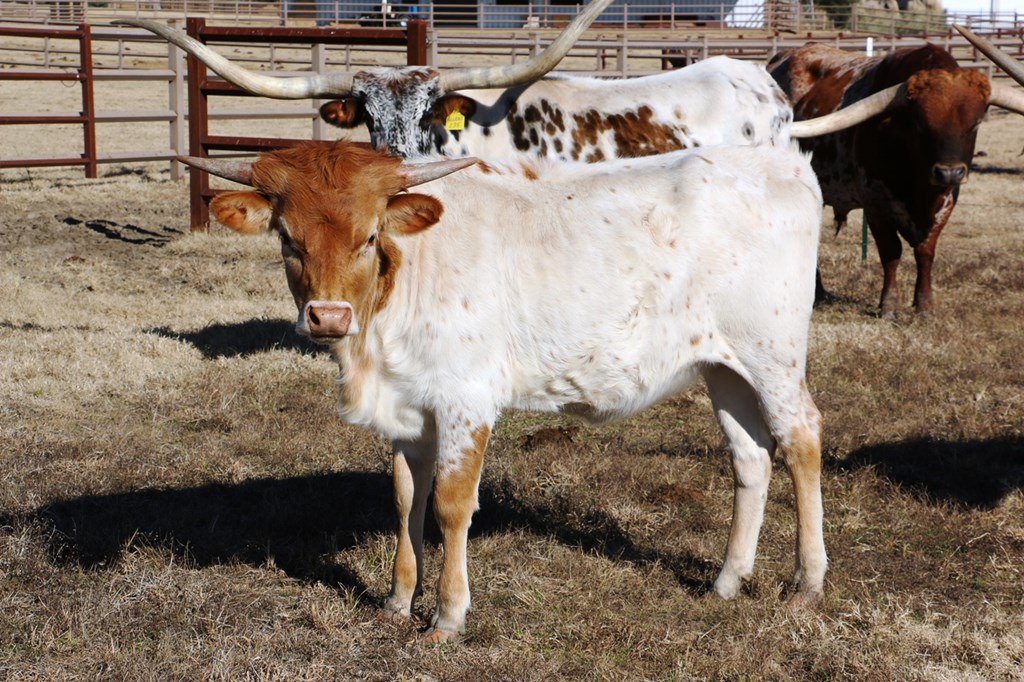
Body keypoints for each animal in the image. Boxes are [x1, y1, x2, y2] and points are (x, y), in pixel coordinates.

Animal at [178, 139, 827, 643]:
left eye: (368, 236)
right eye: (288, 239)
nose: (329, 317)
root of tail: (782, 160)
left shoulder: (465, 399)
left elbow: (449, 504)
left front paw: (447, 615)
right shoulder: (408, 409)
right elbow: (406, 499)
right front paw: (397, 600)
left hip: (773, 355)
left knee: (801, 441)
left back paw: (807, 583)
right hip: (724, 366)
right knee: (751, 458)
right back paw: (726, 581)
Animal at [769, 42, 1024, 316]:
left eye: (974, 124)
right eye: (919, 124)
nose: (949, 172)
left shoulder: (947, 201)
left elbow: (926, 251)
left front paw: (925, 305)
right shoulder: (875, 203)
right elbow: (891, 251)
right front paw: (890, 305)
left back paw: (820, 293)